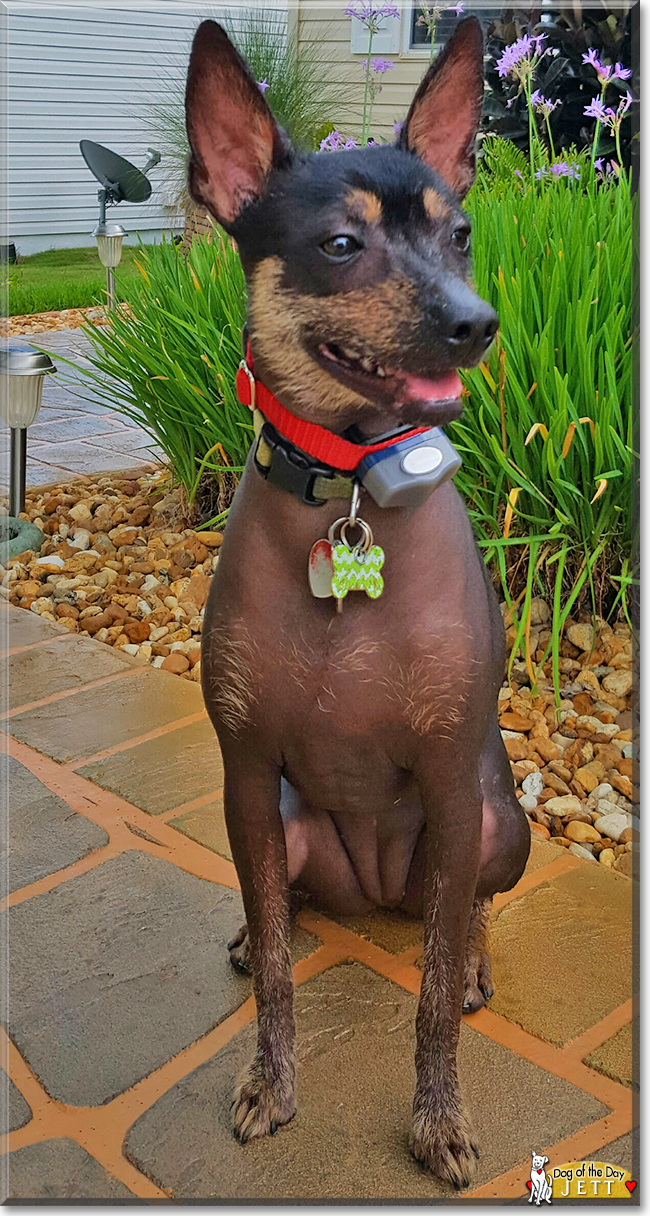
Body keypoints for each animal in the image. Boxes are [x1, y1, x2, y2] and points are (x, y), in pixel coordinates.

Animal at [185, 19, 532, 1191]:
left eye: (461, 234)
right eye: (341, 245)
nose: (475, 324)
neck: (350, 491)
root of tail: (378, 891)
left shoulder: (451, 779)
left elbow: (427, 1001)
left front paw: (437, 1119)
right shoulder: (246, 774)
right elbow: (281, 979)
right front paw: (269, 1078)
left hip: (495, 824)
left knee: (461, 911)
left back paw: (468, 957)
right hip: (287, 825)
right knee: (283, 907)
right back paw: (261, 930)